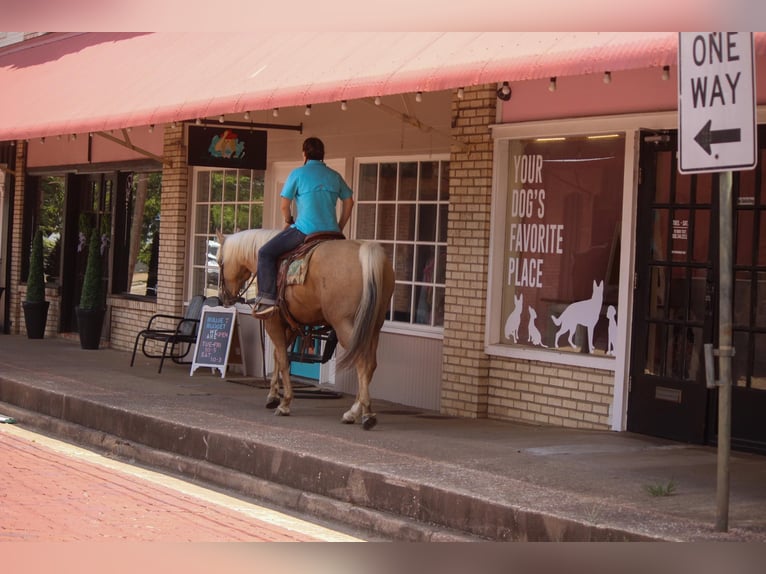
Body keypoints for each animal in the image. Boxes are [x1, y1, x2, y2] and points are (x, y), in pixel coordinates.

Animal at [218, 231, 392, 432]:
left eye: (219, 262)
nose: (223, 298)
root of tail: (364, 249)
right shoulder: (292, 325)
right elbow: (278, 356)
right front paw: (273, 396)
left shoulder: (273, 322)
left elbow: (283, 360)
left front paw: (285, 403)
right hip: (373, 327)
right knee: (370, 364)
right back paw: (354, 411)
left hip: (345, 325)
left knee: (362, 362)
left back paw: (367, 414)